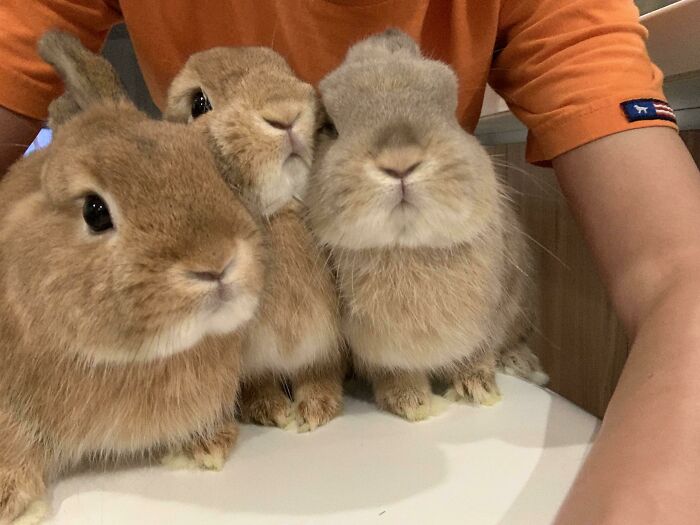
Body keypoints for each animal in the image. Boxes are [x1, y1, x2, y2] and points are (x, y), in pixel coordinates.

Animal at [165, 47, 344, 432]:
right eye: (199, 103)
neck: (277, 216)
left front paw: (317, 408)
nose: (286, 113)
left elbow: (318, 372)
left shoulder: (323, 347)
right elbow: (259, 382)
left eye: (285, 70)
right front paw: (271, 410)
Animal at [305, 29, 547, 422]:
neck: (407, 246)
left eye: (450, 110)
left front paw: (478, 388)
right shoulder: (379, 352)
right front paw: (411, 402)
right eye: (329, 128)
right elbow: (394, 373)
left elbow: (479, 352)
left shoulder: (489, 320)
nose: (400, 161)